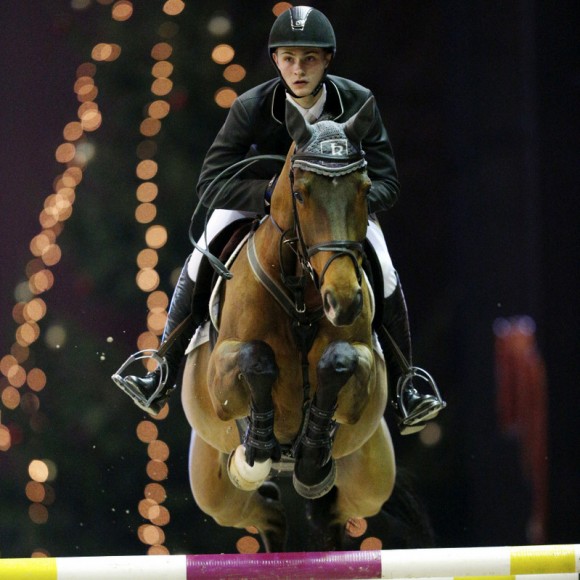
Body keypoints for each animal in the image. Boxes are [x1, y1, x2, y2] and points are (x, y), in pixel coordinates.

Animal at [182, 97, 394, 552]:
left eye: (365, 189)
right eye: (300, 193)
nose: (343, 301)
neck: (300, 293)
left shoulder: (364, 374)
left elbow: (339, 361)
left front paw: (311, 457)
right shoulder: (220, 375)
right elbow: (255, 358)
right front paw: (260, 444)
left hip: (370, 476)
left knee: (333, 511)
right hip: (214, 485)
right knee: (266, 511)